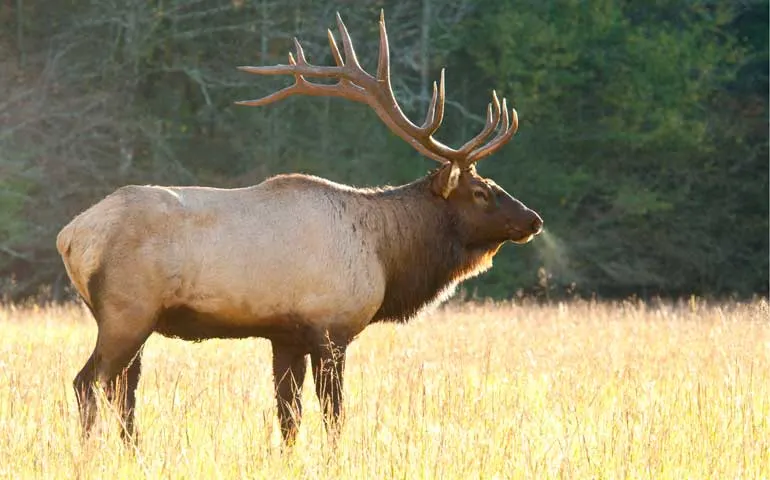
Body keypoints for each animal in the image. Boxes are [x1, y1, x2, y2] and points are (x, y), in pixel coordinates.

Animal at [57, 12, 540, 446]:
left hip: (129, 319)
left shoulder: (286, 335)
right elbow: (334, 416)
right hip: (127, 311)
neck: (385, 255)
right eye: (480, 191)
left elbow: (288, 418)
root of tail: (71, 237)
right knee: (88, 383)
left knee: (122, 391)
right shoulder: (331, 329)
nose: (533, 220)